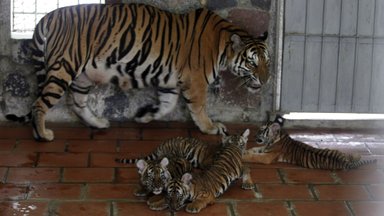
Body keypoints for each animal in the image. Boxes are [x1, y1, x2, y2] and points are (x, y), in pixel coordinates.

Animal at [6, 4, 270, 142]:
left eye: (267, 61)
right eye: (252, 63)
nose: (266, 80)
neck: (224, 46)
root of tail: (49, 16)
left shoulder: (171, 81)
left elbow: (167, 105)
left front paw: (144, 116)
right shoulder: (195, 82)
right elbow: (199, 109)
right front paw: (211, 128)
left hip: (82, 76)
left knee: (77, 103)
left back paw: (99, 123)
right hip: (64, 68)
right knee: (39, 104)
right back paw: (42, 134)